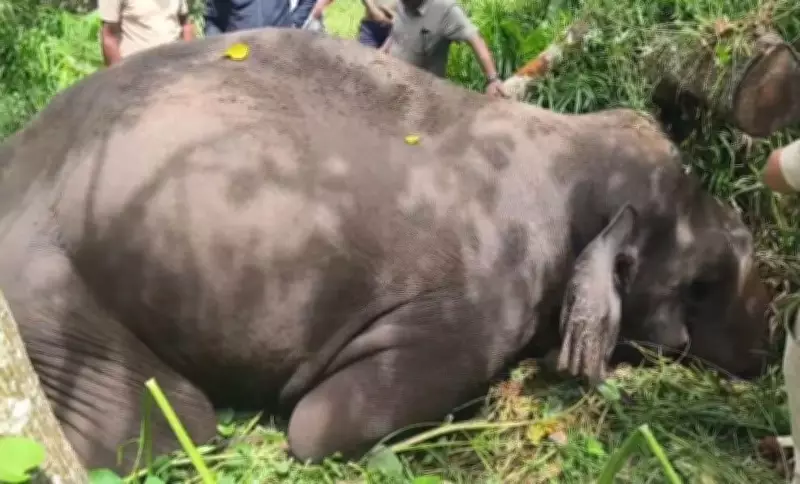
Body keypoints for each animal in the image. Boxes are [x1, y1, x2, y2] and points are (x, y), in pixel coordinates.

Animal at [0, 27, 772, 474]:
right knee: (164, 431)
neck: (564, 142)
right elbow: (318, 427)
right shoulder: (476, 302)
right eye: (702, 284)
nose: (768, 352)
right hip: (45, 292)